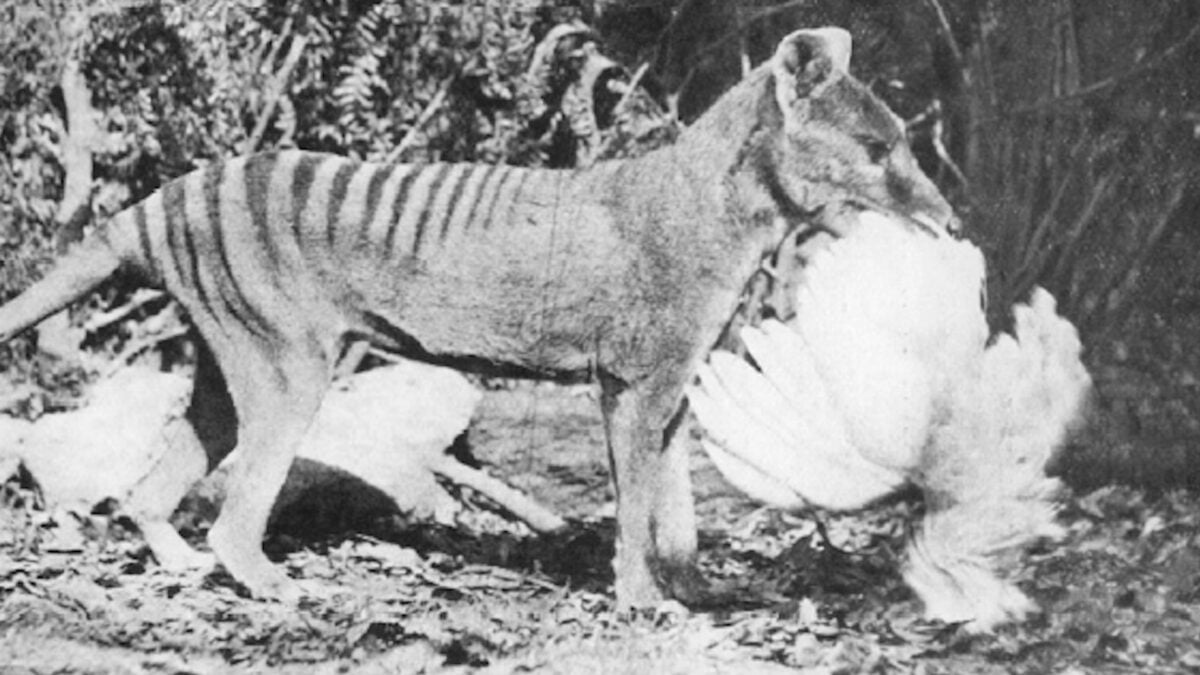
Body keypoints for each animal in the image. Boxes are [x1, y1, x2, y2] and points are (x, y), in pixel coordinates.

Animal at [0, 28, 957, 607]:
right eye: (877, 148)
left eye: (903, 141)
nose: (949, 219)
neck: (714, 203)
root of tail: (155, 202)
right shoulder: (633, 383)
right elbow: (639, 506)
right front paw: (641, 598)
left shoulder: (674, 388)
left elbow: (677, 510)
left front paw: (693, 589)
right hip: (287, 366)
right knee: (235, 511)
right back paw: (264, 580)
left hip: (227, 358)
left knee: (152, 487)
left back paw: (185, 562)